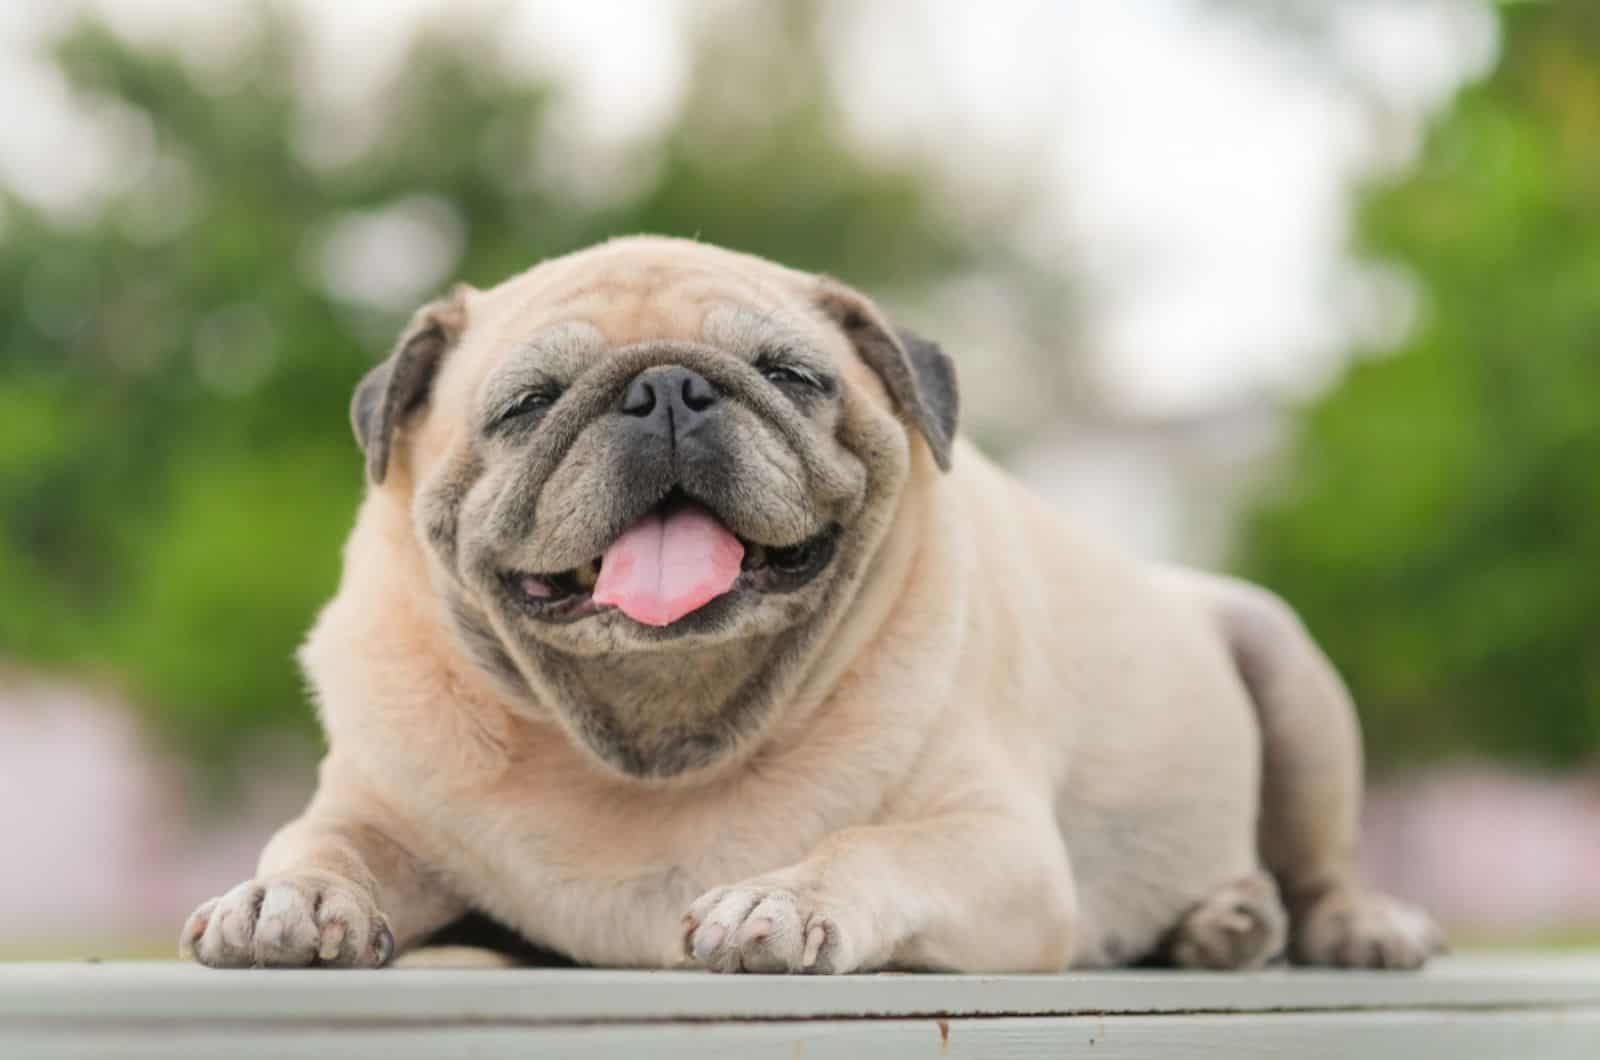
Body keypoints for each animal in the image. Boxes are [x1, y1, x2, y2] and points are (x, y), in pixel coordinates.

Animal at [181, 236, 1446, 973]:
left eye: (791, 376)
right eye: (528, 403)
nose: (665, 386)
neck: (656, 741)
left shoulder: (993, 847)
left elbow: (866, 846)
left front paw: (778, 903)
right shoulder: (382, 809)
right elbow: (322, 837)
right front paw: (285, 896)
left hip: (1287, 669)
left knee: (1318, 860)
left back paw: (1328, 925)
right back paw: (1220, 925)